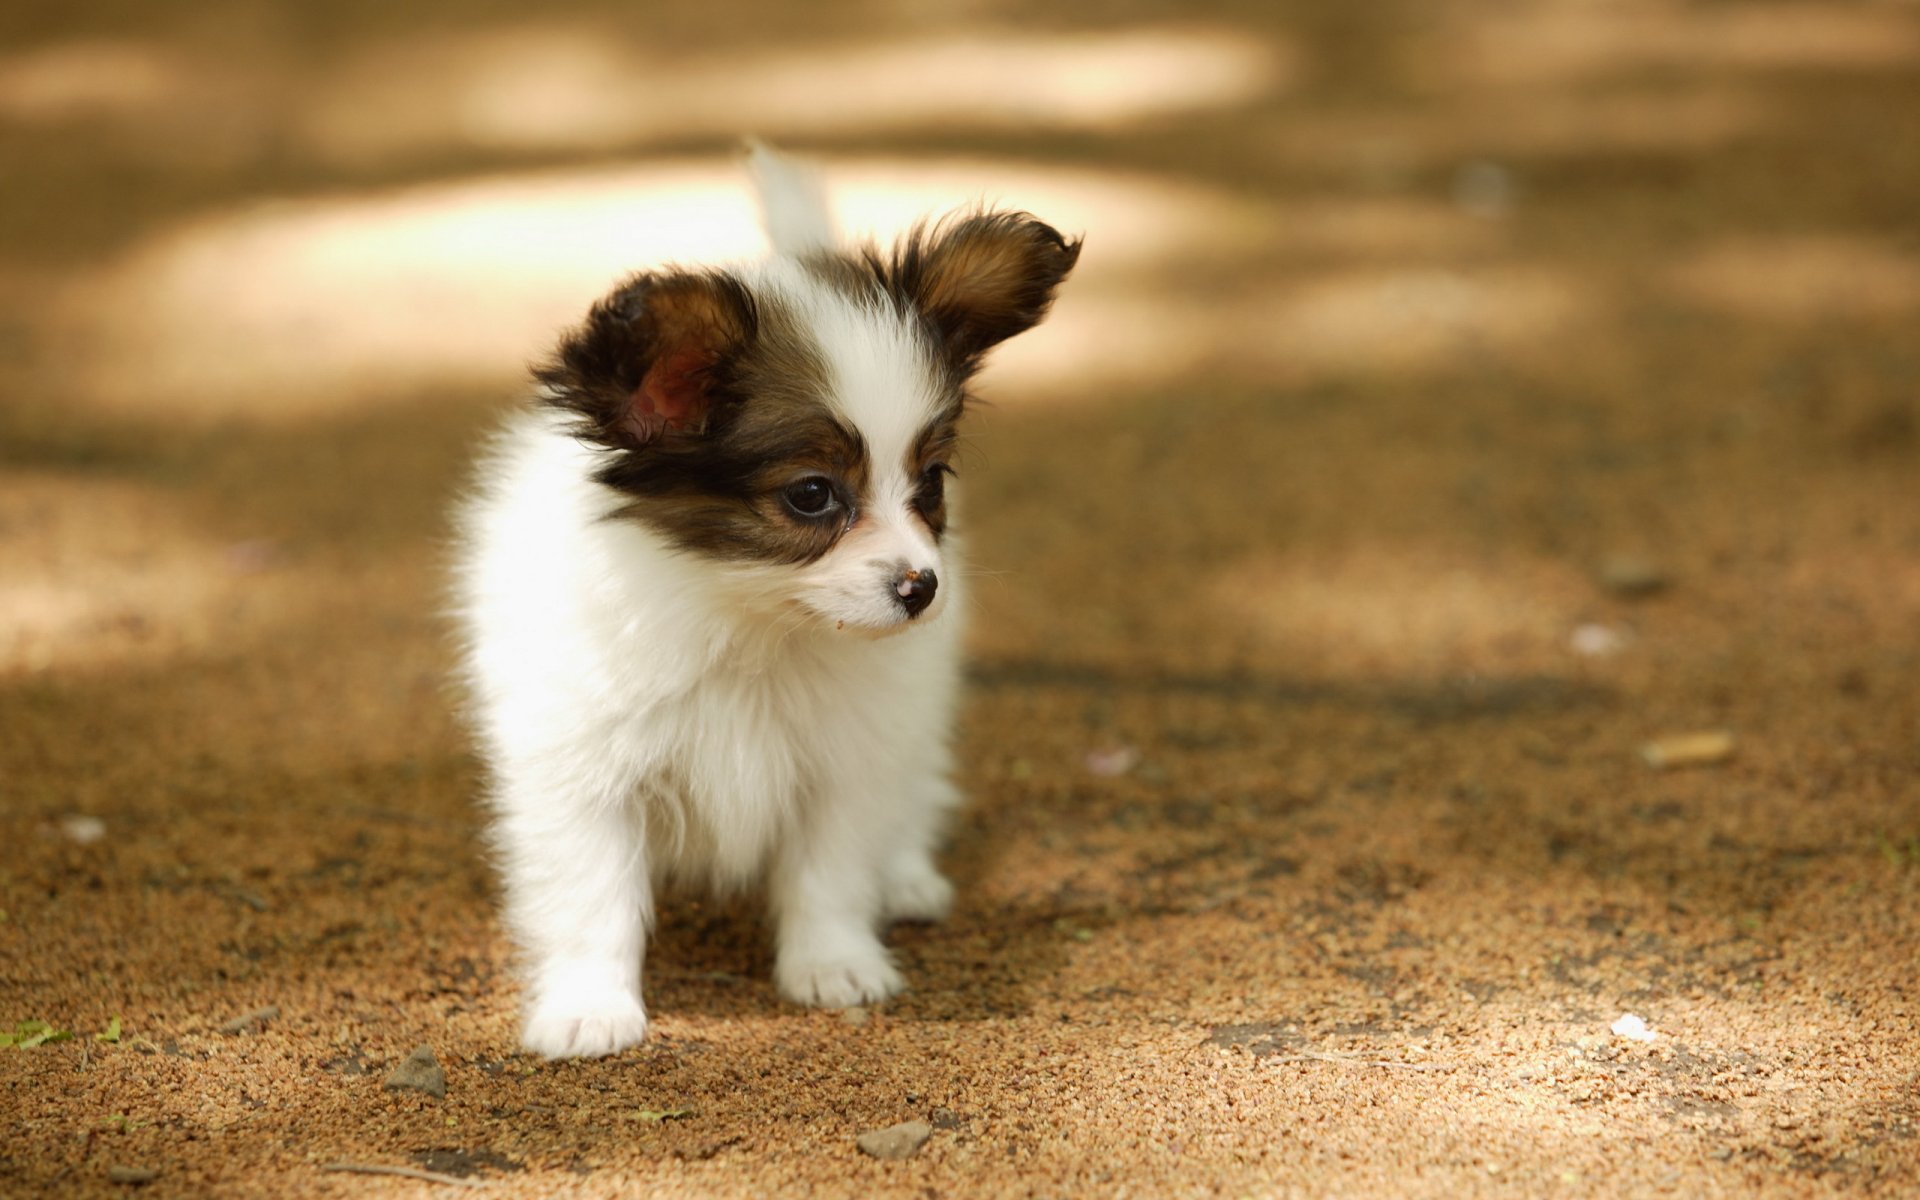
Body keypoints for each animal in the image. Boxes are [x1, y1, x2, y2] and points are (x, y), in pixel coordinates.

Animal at [453, 149, 1082, 1059]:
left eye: (931, 481)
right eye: (812, 495)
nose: (922, 587)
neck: (748, 620)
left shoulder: (847, 759)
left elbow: (830, 871)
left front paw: (835, 966)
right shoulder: (579, 770)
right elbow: (590, 898)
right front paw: (589, 1006)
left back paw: (907, 878)